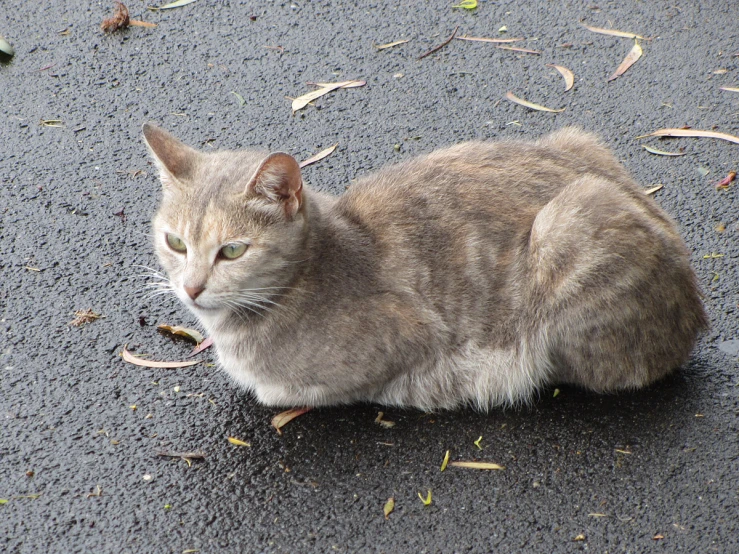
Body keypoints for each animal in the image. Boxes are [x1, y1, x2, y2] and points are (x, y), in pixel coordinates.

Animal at [142, 125, 708, 410]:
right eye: (175, 242)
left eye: (232, 251)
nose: (191, 288)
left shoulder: (406, 336)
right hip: (577, 138)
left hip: (570, 221)